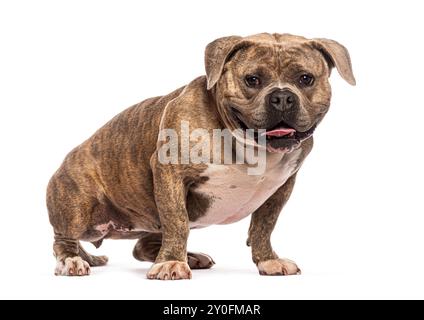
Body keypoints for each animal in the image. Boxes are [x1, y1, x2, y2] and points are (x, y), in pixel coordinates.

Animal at [47, 31, 354, 278]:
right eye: (252, 79)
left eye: (306, 79)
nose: (281, 97)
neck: (250, 146)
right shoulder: (169, 173)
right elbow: (177, 222)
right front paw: (171, 263)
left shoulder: (281, 188)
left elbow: (263, 227)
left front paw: (268, 261)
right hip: (76, 205)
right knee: (64, 240)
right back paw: (72, 261)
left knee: (142, 245)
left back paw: (190, 257)